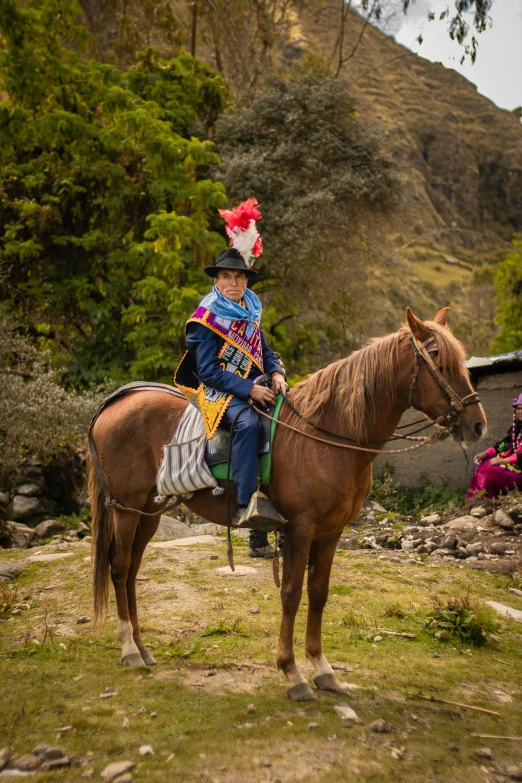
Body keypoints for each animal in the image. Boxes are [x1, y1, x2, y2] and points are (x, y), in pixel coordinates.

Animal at [88, 308, 484, 704]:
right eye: (438, 360)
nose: (477, 424)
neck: (325, 434)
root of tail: (115, 403)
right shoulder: (300, 529)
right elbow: (291, 594)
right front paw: (292, 673)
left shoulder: (331, 532)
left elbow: (319, 593)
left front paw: (322, 669)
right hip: (126, 507)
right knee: (120, 567)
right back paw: (128, 648)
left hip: (149, 511)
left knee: (133, 570)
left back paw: (142, 646)